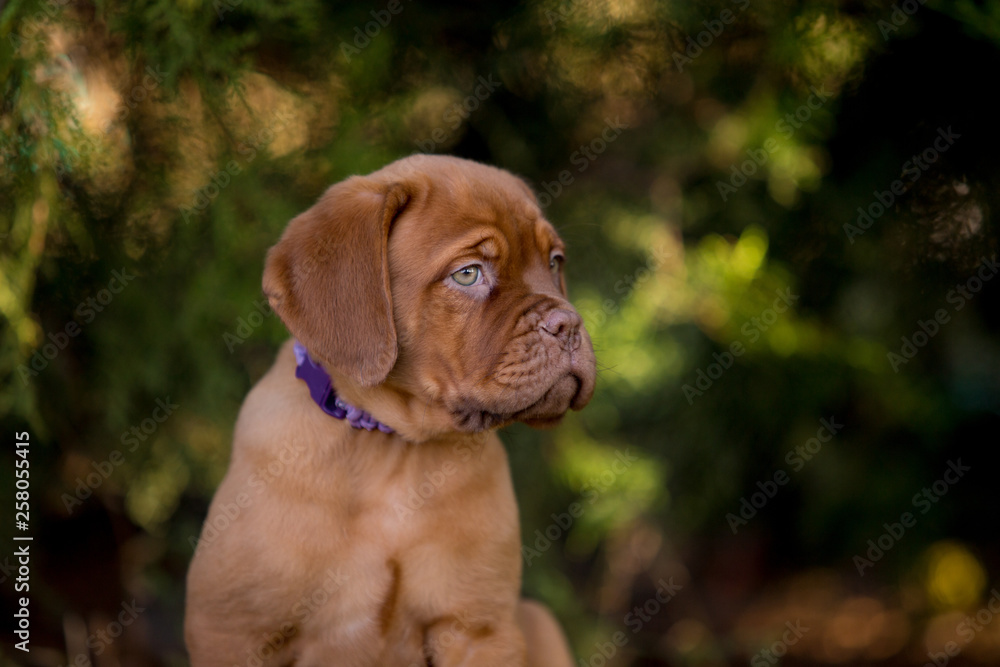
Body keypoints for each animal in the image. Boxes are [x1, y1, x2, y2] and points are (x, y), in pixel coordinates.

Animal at [186, 155, 592, 667]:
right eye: (468, 274)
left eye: (555, 263)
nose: (570, 324)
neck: (393, 449)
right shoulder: (232, 631)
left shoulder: (478, 629)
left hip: (538, 619)